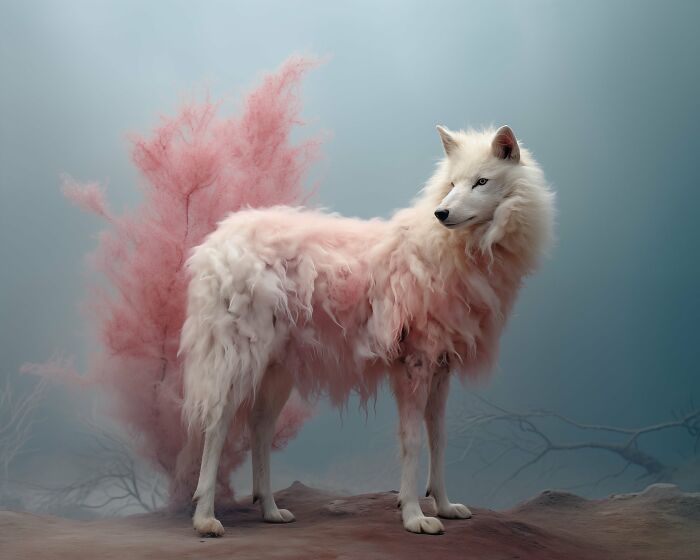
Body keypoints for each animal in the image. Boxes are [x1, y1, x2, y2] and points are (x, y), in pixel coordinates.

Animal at [179, 124, 554, 535]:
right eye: (452, 184)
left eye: (481, 182)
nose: (441, 213)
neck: (455, 250)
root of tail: (215, 242)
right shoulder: (414, 368)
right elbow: (412, 443)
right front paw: (414, 516)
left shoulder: (441, 369)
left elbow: (439, 440)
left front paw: (444, 505)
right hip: (236, 362)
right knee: (216, 428)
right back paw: (205, 518)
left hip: (277, 373)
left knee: (259, 429)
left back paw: (271, 510)